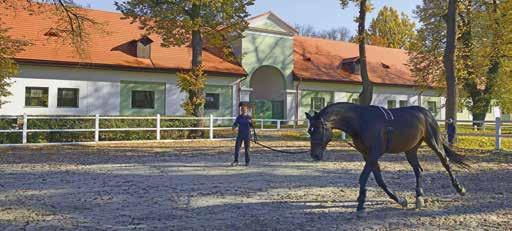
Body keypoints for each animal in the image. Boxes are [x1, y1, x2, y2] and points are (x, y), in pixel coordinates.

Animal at [306, 103, 470, 215]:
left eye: (318, 129)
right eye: (309, 130)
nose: (315, 155)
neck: (361, 121)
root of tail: (426, 113)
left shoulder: (374, 154)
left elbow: (364, 177)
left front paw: (361, 204)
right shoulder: (368, 155)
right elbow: (379, 180)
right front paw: (401, 201)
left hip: (433, 142)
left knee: (445, 163)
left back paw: (460, 189)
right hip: (410, 150)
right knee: (418, 170)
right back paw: (419, 198)